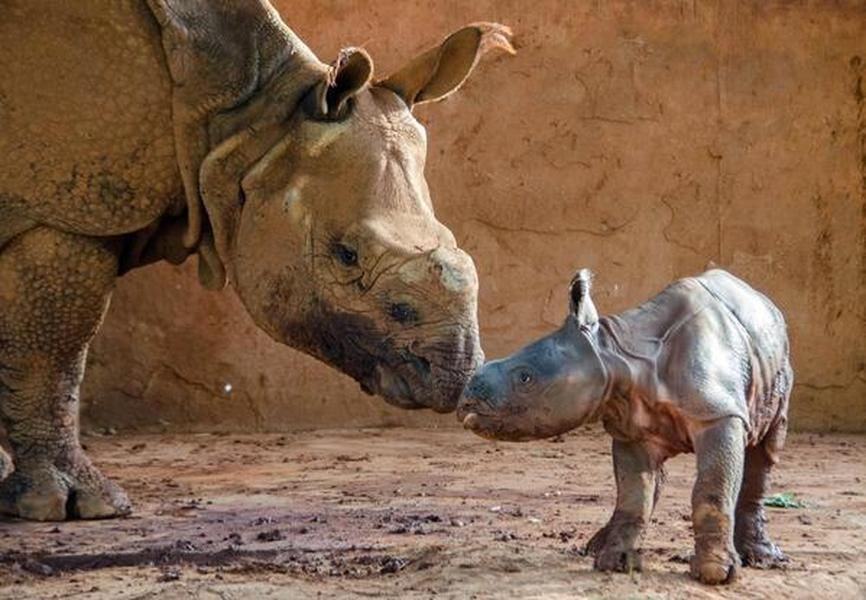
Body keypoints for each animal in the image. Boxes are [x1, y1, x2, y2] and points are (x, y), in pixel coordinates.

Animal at [460, 270, 788, 584]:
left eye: (525, 378)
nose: (466, 401)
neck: (619, 353)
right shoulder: (630, 425)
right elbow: (633, 495)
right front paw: (615, 561)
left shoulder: (718, 414)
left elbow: (712, 489)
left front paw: (714, 573)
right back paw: (596, 546)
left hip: (779, 365)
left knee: (765, 451)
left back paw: (761, 558)